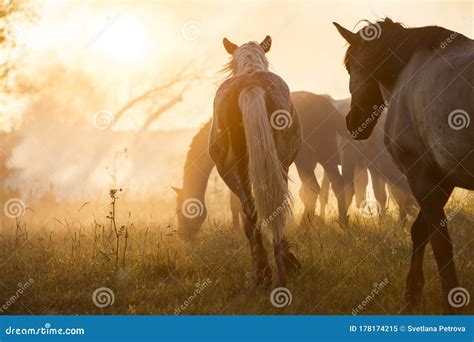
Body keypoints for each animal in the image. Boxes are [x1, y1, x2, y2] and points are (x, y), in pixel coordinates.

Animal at [209, 35, 302, 286]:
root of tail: (250, 86)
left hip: (232, 170)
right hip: (277, 162)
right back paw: (280, 274)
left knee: (250, 210)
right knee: (274, 208)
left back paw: (263, 272)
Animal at [336, 18, 472, 312]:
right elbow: (421, 231)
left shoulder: (422, 176)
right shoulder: (443, 180)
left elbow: (439, 241)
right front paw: (412, 296)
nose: (351, 122)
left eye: (349, 67)